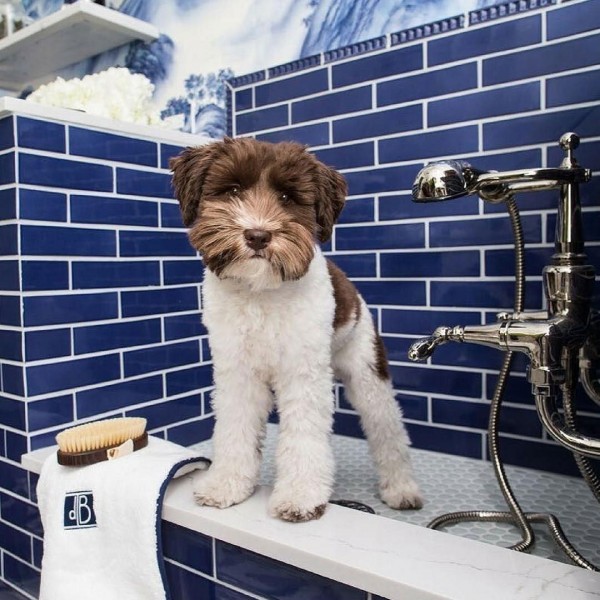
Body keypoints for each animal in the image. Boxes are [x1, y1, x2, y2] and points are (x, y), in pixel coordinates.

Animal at [170, 136, 422, 520]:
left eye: (288, 196)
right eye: (232, 189)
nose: (258, 235)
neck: (261, 292)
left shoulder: (303, 374)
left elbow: (304, 436)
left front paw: (300, 496)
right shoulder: (237, 373)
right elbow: (234, 428)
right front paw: (225, 484)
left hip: (366, 371)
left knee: (388, 430)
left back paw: (401, 488)